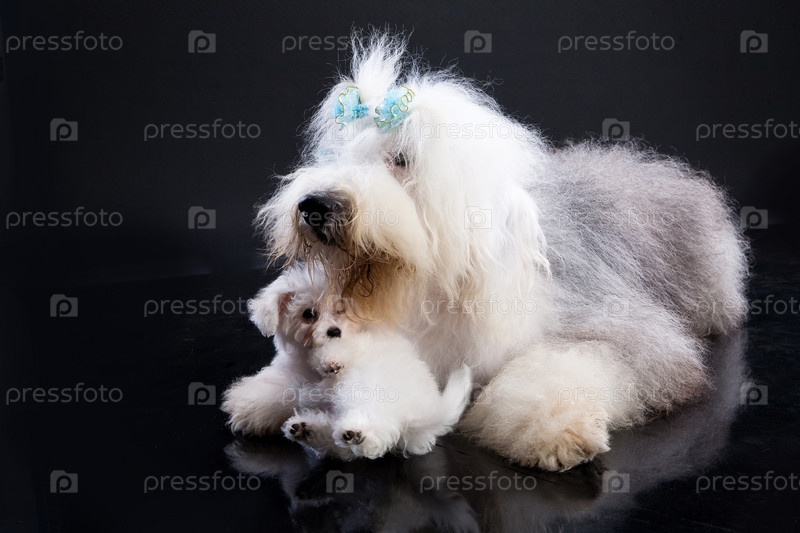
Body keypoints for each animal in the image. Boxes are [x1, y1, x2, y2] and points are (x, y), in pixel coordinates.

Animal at [222, 264, 472, 459]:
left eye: (341, 310)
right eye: (308, 313)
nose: (334, 331)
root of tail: (420, 417)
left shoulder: (361, 343)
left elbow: (343, 349)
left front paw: (331, 361)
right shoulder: (293, 373)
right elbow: (274, 388)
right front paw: (248, 407)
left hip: (368, 391)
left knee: (374, 431)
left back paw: (356, 433)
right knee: (341, 447)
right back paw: (307, 430)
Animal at [253, 32, 749, 471]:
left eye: (401, 159)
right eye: (334, 156)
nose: (314, 206)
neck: (428, 286)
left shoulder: (619, 327)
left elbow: (566, 365)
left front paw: (554, 430)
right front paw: (260, 398)